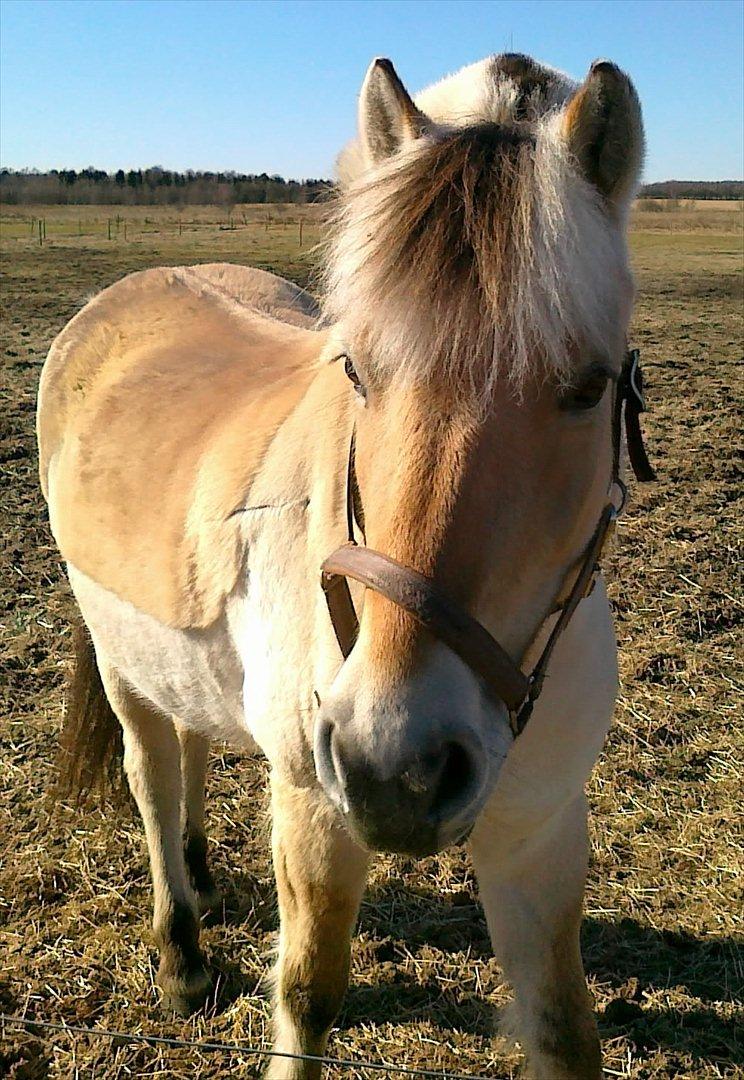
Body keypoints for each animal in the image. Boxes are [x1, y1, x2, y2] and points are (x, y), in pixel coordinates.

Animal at [37, 52, 647, 1080]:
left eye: (588, 387)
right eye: (357, 369)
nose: (398, 768)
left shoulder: (541, 828)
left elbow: (565, 1029)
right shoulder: (317, 811)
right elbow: (309, 994)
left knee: (193, 743)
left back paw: (202, 874)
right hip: (124, 666)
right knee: (152, 773)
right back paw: (181, 955)